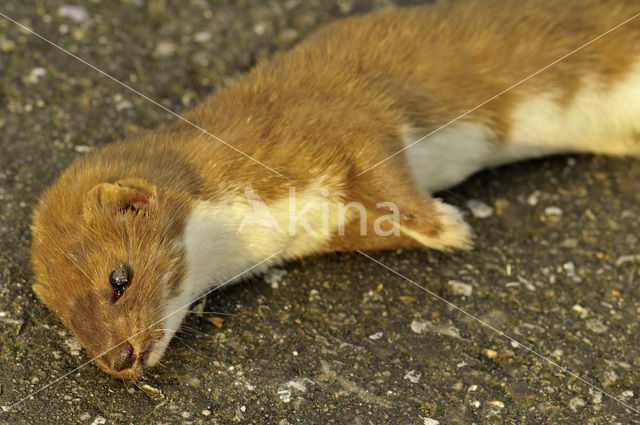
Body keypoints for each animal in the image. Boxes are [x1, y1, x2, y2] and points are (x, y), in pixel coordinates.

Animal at [30, 0, 640, 378]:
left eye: (118, 278)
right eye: (67, 319)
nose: (118, 360)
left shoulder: (336, 117)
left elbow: (387, 169)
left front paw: (446, 225)